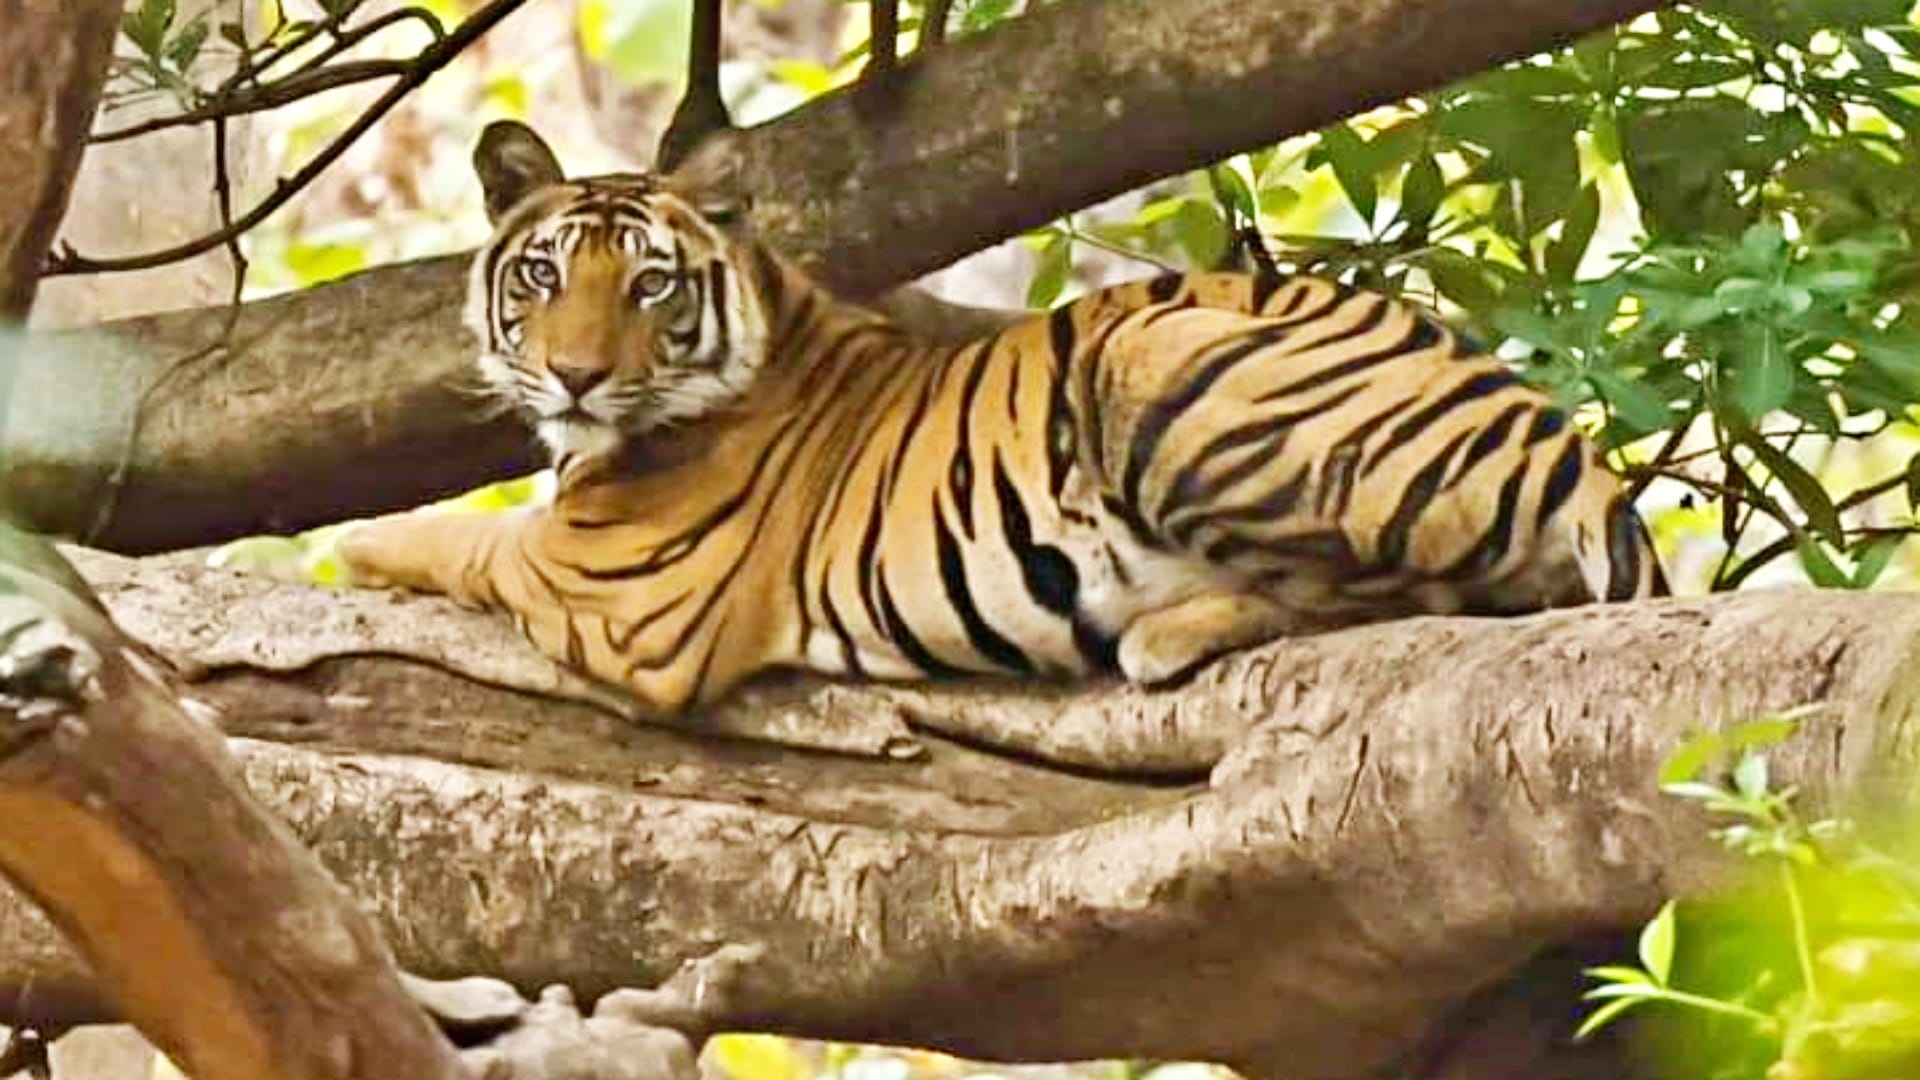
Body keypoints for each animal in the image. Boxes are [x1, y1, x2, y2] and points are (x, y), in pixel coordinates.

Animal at [338, 120, 1667, 747]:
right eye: (545, 274)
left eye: (652, 286)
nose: (573, 377)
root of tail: (1568, 445)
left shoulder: (622, 595)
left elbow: (467, 540)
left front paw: (362, 547)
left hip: (1154, 357)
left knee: (1418, 596)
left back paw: (1167, 630)